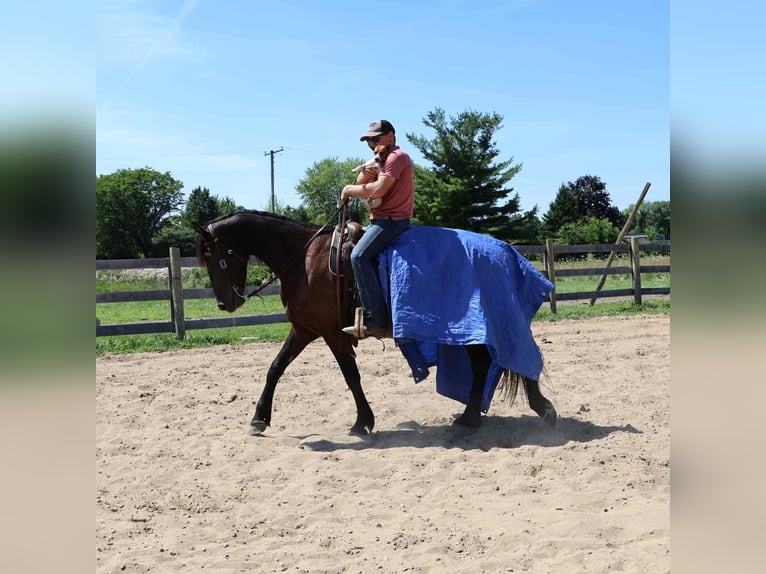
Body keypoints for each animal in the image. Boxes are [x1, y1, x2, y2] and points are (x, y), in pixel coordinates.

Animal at [193, 210, 556, 436]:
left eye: (212, 256)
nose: (225, 303)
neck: (305, 260)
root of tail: (506, 251)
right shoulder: (305, 329)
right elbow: (275, 368)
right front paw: (259, 420)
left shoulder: (331, 333)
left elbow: (350, 375)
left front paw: (362, 422)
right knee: (485, 364)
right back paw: (472, 417)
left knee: (507, 358)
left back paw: (537, 409)